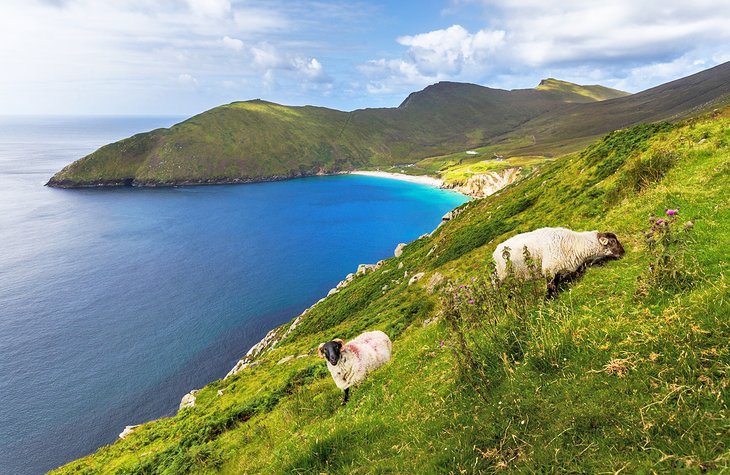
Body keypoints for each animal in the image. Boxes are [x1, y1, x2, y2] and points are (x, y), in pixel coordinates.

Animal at [492, 227, 624, 298]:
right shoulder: (549, 269)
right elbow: (551, 287)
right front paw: (550, 301)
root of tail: (495, 250)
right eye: (613, 241)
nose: (623, 252)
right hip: (500, 275)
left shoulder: (561, 270)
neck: (575, 243)